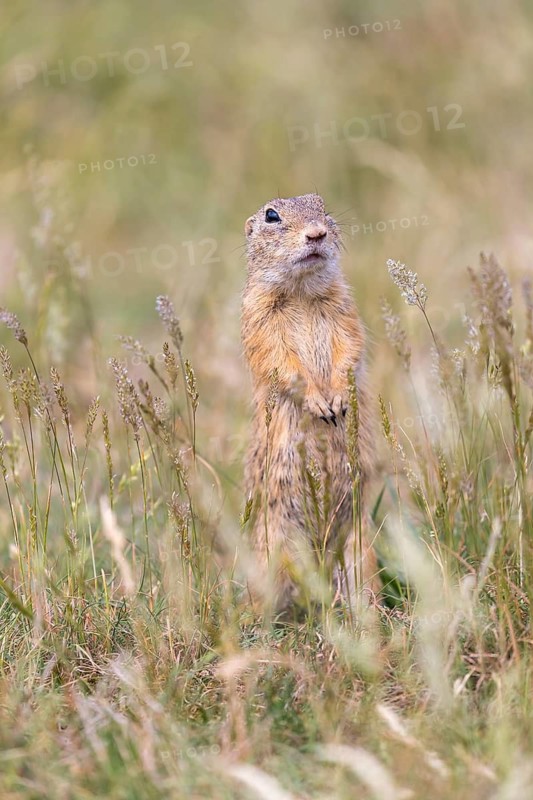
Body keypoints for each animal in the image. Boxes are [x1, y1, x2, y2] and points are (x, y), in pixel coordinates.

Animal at [241, 192, 379, 611]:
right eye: (272, 216)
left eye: (323, 207)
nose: (316, 233)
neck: (301, 290)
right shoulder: (259, 321)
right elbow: (282, 364)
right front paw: (320, 403)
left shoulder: (345, 308)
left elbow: (350, 347)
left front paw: (337, 397)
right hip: (273, 548)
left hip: (360, 546)